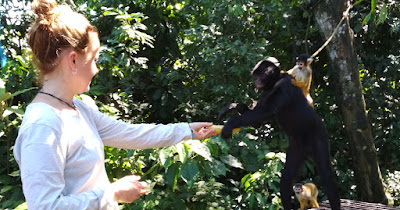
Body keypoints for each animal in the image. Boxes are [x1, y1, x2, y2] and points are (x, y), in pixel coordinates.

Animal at [219, 58, 340, 209]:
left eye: (261, 75)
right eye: (255, 76)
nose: (256, 81)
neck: (275, 82)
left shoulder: (283, 87)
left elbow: (264, 112)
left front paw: (230, 122)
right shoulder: (265, 92)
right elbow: (257, 123)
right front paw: (232, 107)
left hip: (319, 136)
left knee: (327, 176)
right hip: (297, 147)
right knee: (286, 179)